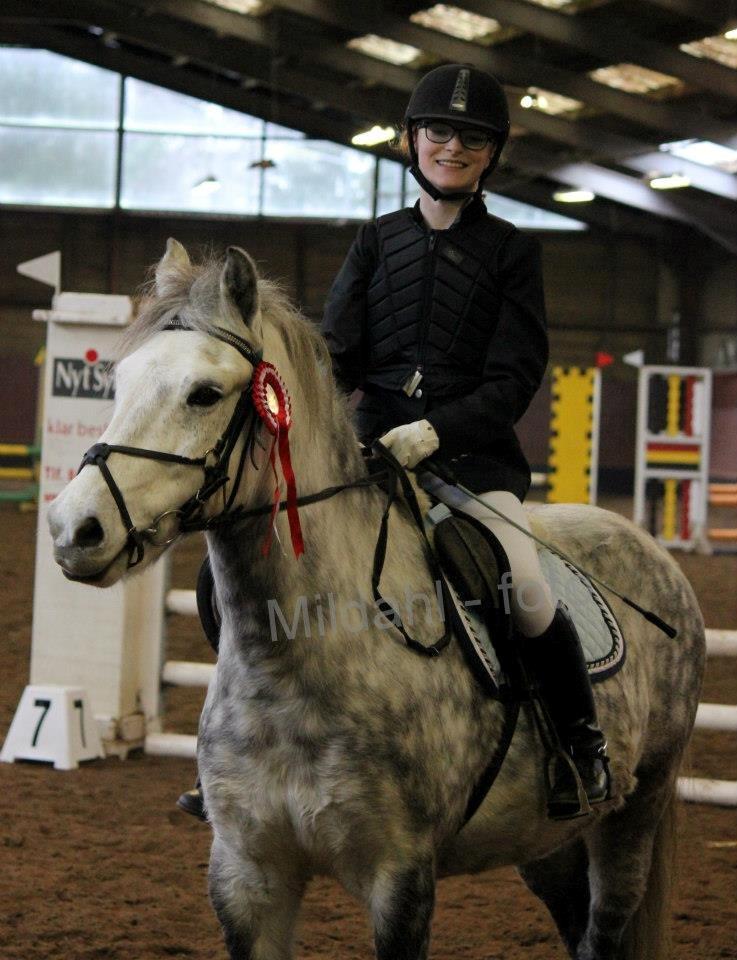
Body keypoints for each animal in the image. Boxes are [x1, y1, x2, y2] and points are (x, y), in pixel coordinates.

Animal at [48, 239, 705, 960]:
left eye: (205, 393)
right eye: (118, 382)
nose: (74, 529)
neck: (296, 661)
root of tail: (651, 551)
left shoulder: (401, 876)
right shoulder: (247, 875)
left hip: (632, 815)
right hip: (545, 840)